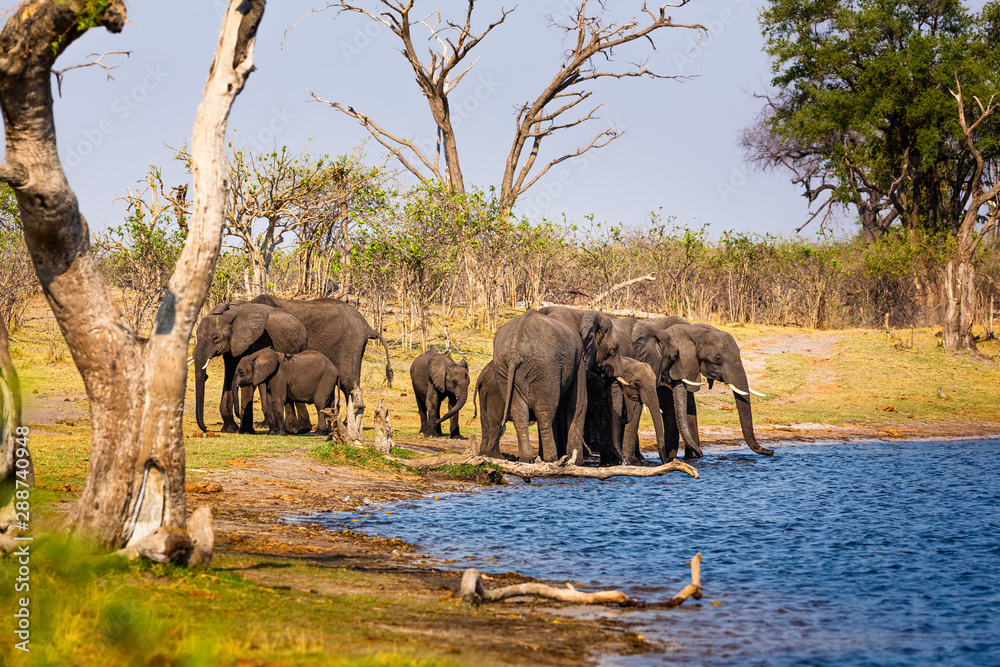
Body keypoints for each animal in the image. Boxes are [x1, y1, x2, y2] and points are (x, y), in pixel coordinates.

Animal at [493, 310, 588, 463]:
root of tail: (514, 353)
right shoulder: (578, 359)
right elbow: (578, 404)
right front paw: (577, 463)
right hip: (545, 368)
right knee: (544, 413)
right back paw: (552, 459)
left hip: (503, 367)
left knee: (519, 413)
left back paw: (526, 459)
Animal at [631, 320, 773, 461]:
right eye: (717, 359)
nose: (771, 451)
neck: (696, 331)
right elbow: (671, 410)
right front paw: (674, 459)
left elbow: (689, 407)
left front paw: (692, 458)